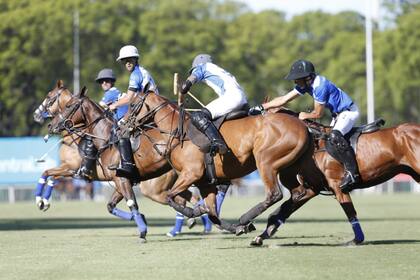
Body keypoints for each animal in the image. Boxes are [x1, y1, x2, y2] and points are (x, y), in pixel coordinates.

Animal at [251, 109, 418, 245]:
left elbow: (350, 211)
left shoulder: (337, 185)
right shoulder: (311, 188)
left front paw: (357, 240)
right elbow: (284, 210)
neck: (311, 145)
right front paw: (261, 235)